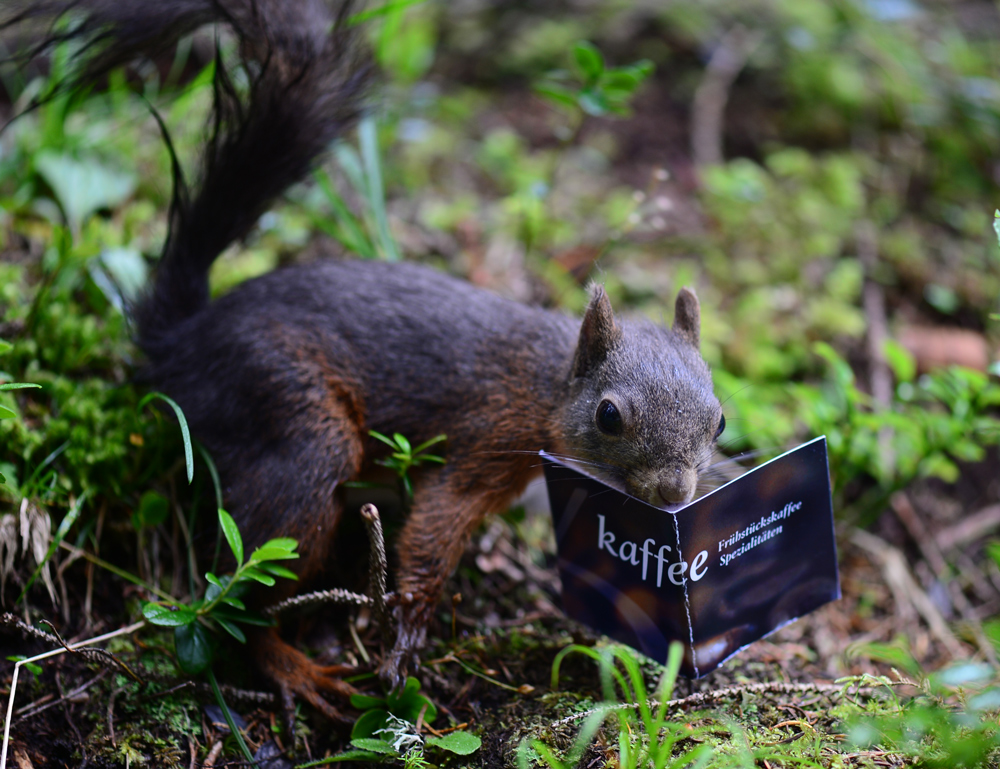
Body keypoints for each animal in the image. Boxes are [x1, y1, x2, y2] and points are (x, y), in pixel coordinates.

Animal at [9, 0, 728, 724]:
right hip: (289, 415)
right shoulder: (486, 439)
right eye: (609, 416)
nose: (676, 493)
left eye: (720, 420)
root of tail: (182, 336)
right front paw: (408, 629)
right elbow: (436, 524)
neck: (547, 383)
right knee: (236, 605)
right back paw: (295, 669)